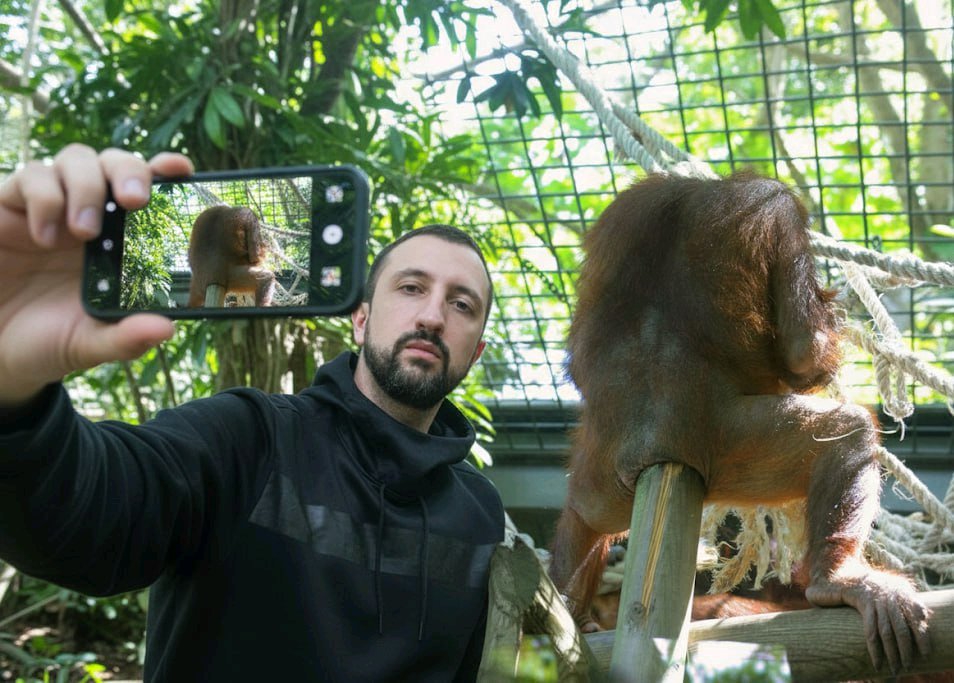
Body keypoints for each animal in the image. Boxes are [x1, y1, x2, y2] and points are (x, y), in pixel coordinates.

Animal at [548, 171, 931, 673]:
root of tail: (654, 454)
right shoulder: (778, 208)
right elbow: (804, 350)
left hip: (601, 476)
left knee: (579, 514)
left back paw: (566, 614)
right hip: (732, 444)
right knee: (846, 436)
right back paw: (838, 580)